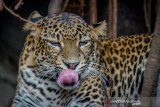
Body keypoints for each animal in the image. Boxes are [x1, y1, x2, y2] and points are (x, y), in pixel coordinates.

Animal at [12, 11, 152, 106]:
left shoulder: (89, 101)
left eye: (83, 43)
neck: (53, 91)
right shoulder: (23, 100)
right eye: (55, 43)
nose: (72, 65)